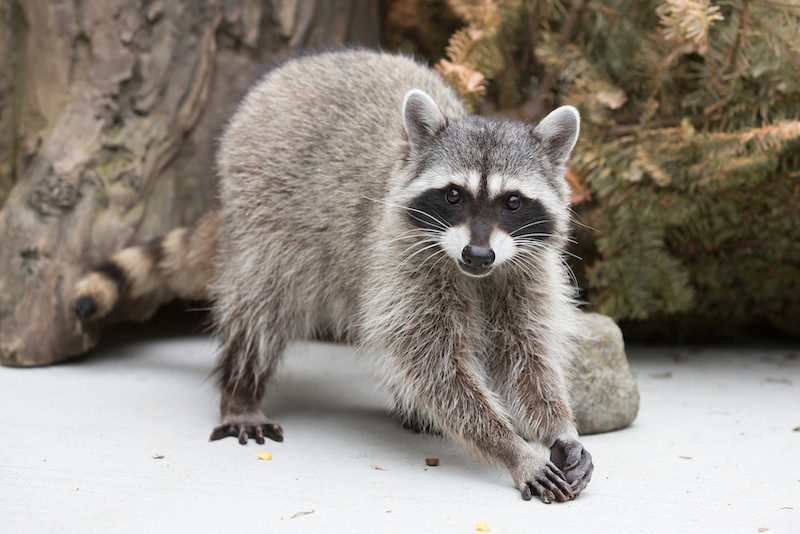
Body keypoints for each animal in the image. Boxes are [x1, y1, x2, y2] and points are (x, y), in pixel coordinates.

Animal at [74, 49, 593, 503]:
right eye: (453, 195)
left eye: (512, 202)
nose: (478, 253)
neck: (477, 271)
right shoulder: (404, 256)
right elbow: (432, 362)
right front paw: (511, 447)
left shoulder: (526, 267)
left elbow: (525, 354)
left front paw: (558, 427)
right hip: (265, 205)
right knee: (261, 306)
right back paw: (241, 390)